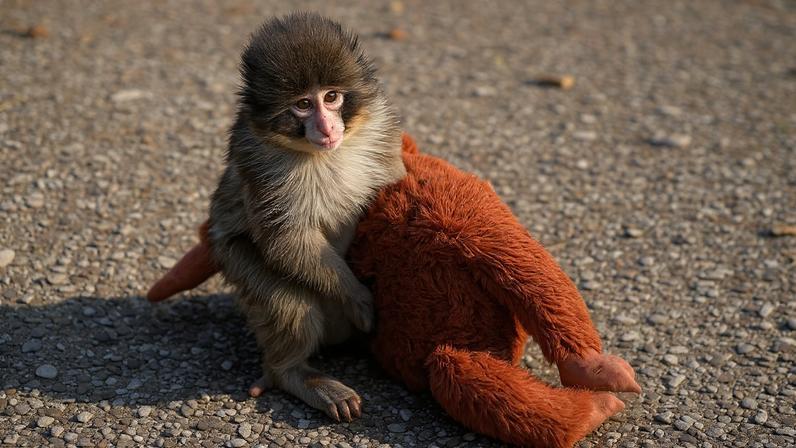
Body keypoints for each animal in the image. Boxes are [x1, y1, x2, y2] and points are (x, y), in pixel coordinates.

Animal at [207, 13, 406, 422]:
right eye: (302, 104)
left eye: (331, 97)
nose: (327, 127)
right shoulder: (257, 159)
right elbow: (286, 239)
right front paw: (356, 297)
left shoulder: (379, 129)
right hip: (237, 262)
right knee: (288, 300)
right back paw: (293, 374)